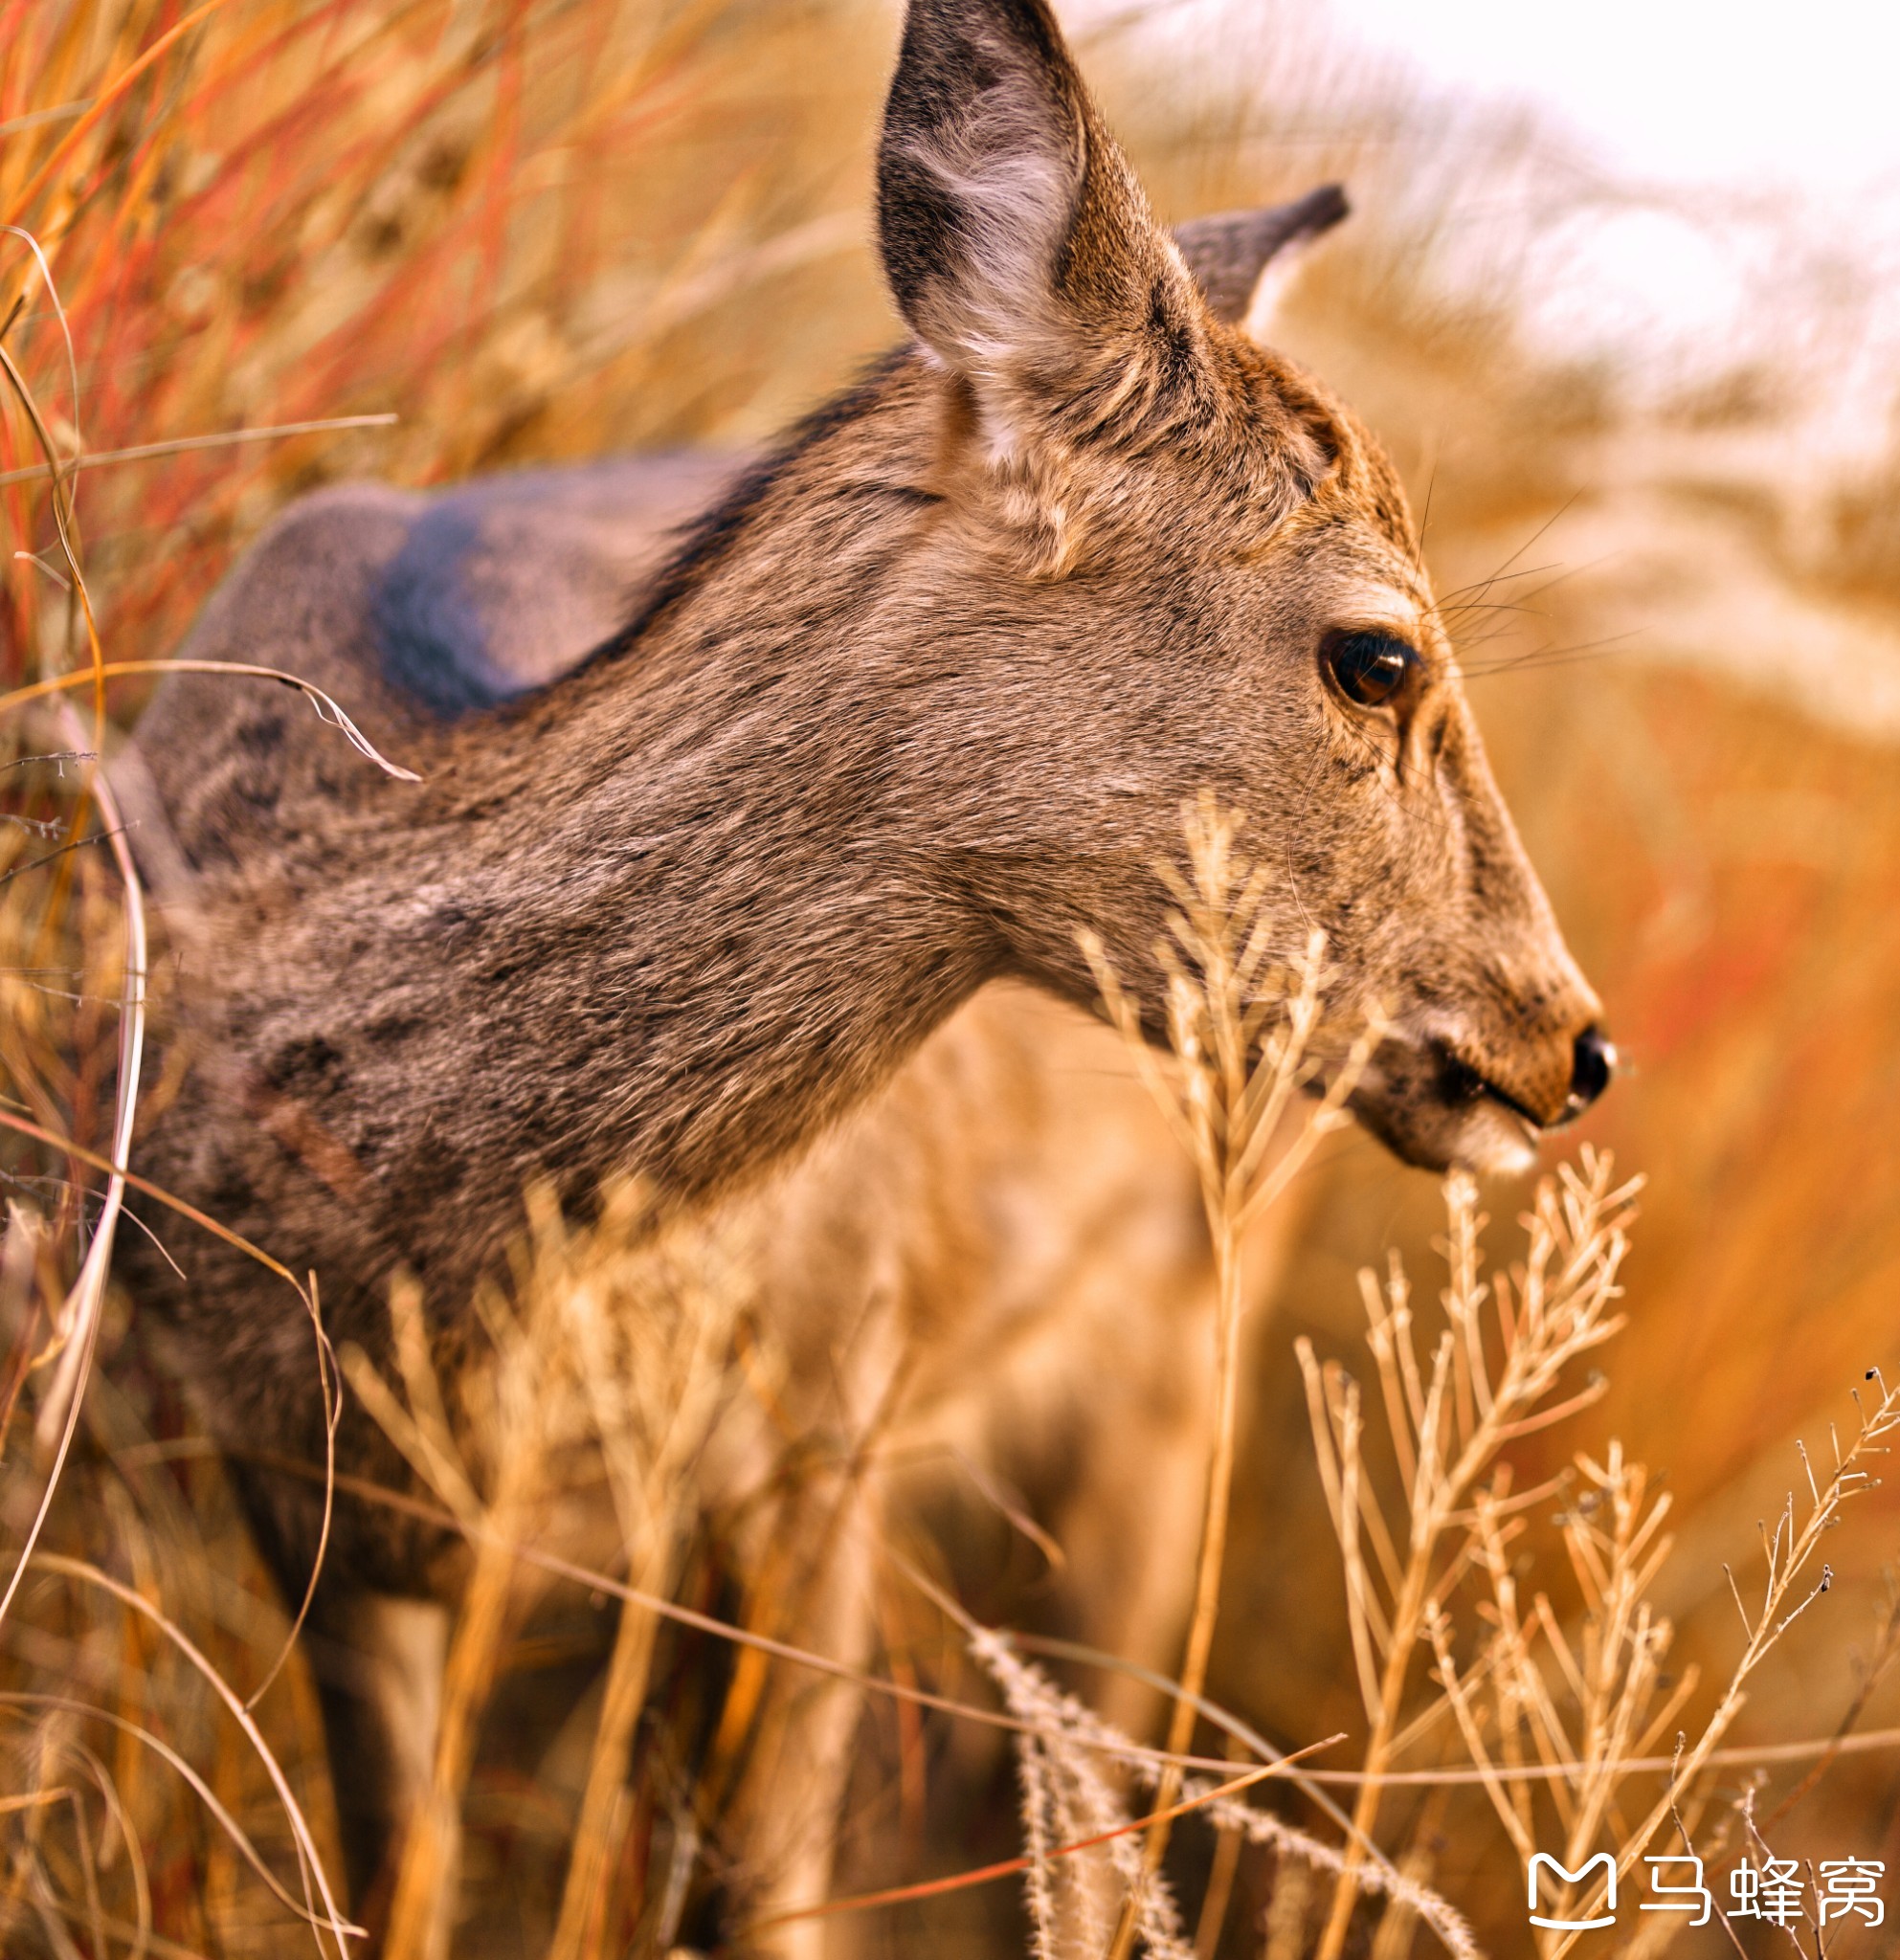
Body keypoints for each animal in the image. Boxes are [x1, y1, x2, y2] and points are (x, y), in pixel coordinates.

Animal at [118, 0, 1607, 1936]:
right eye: (1378, 654)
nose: (1565, 1036)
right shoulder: (307, 1506)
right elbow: (404, 1890)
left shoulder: (825, 1430)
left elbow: (759, 1895)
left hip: (1179, 1349)